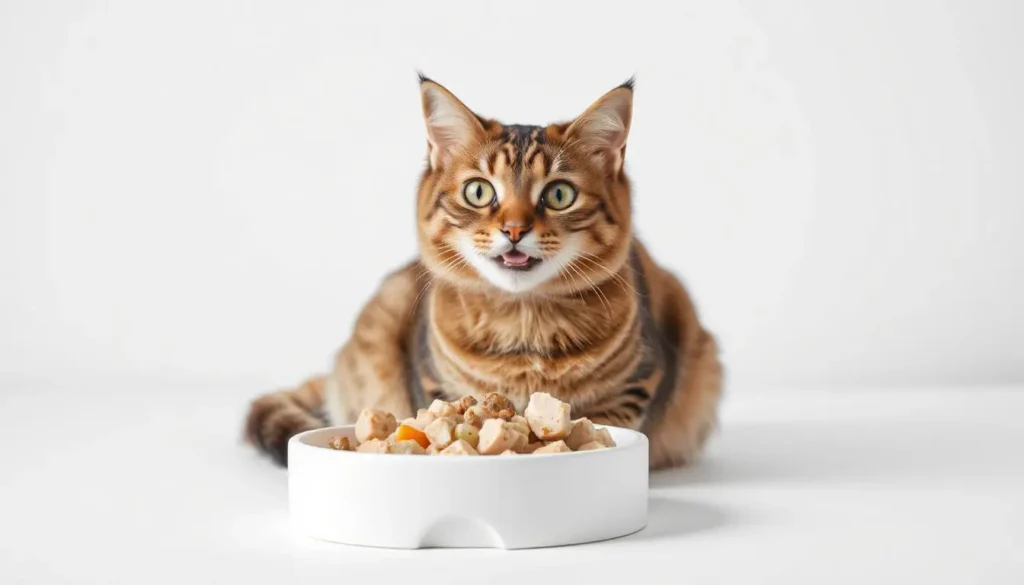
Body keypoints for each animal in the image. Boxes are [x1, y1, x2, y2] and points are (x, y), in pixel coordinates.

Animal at [243, 75, 724, 469]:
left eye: (559, 194)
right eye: (478, 191)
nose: (514, 230)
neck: (525, 329)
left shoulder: (642, 378)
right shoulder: (434, 381)